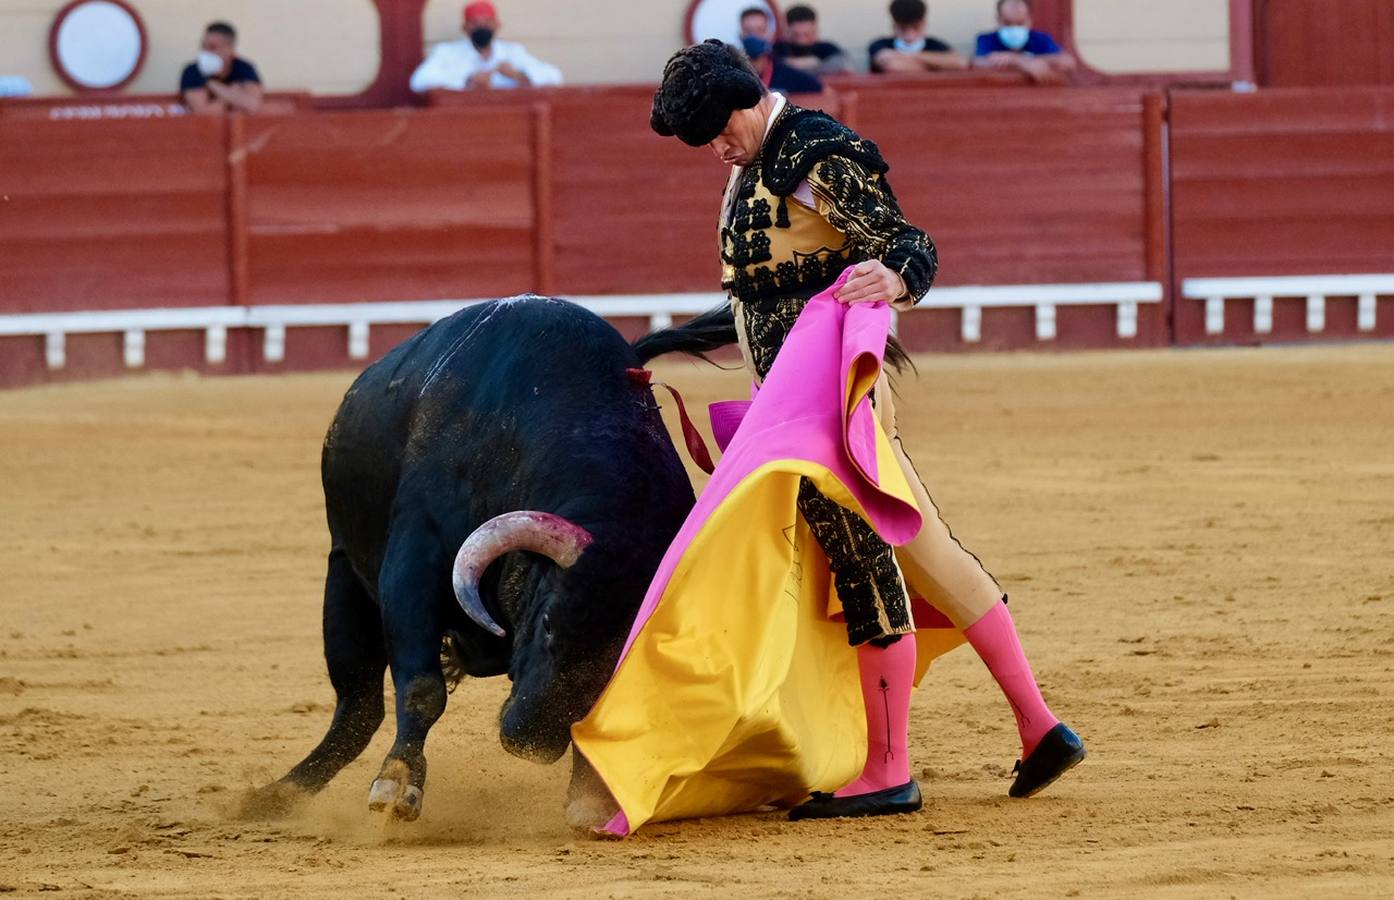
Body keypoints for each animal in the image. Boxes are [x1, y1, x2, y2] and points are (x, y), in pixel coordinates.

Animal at [245, 298, 736, 824]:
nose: (530, 743)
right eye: (548, 623)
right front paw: (397, 785)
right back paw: (276, 795)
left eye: (623, 655)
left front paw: (589, 797)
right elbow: (422, 688)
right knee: (357, 706)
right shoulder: (415, 561)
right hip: (345, 575)